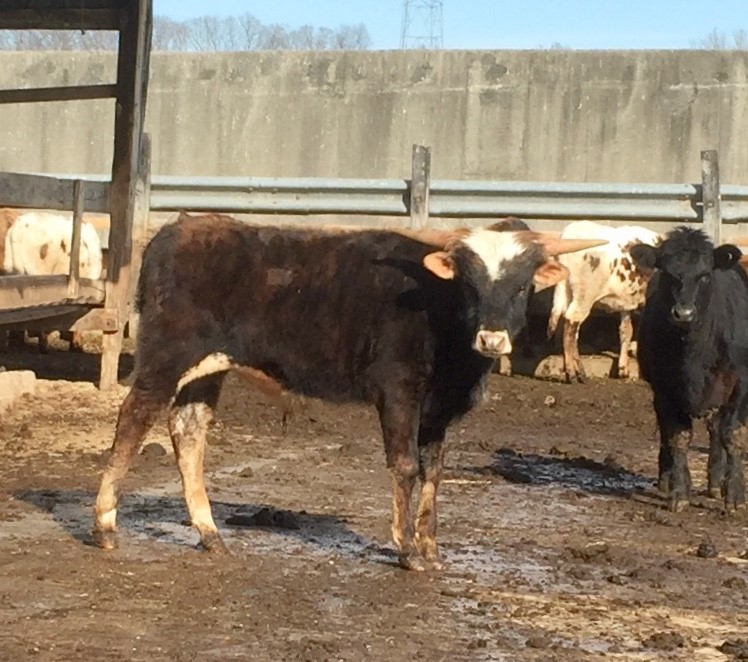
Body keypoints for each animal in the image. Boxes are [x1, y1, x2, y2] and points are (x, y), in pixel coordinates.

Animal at [92, 211, 606, 571]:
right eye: (469, 283)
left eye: (521, 286)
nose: (492, 339)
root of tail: (180, 228)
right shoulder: (399, 391)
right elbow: (405, 466)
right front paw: (407, 551)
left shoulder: (438, 410)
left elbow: (434, 473)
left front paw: (431, 548)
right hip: (166, 358)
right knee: (133, 419)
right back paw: (105, 525)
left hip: (207, 370)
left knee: (188, 430)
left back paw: (210, 533)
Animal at [547, 220, 661, 383]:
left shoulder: (627, 302)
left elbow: (626, 330)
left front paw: (623, 368)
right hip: (585, 295)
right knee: (571, 323)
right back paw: (572, 373)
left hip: (567, 291)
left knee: (571, 327)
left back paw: (579, 370)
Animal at [630, 226, 748, 512]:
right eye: (669, 273)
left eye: (705, 275)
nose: (683, 313)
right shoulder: (664, 389)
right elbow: (678, 437)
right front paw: (680, 492)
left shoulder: (741, 383)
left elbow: (732, 435)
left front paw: (734, 495)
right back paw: (667, 479)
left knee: (717, 430)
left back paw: (716, 483)